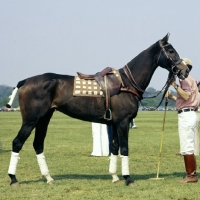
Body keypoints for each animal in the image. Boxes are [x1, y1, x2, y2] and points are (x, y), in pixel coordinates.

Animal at [6, 34, 191, 186]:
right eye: (171, 50)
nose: (186, 69)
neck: (126, 83)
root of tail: (25, 81)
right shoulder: (123, 122)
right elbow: (124, 148)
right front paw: (128, 178)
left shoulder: (115, 123)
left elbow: (114, 148)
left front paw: (115, 177)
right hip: (31, 120)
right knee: (17, 142)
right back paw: (13, 179)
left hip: (44, 118)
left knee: (38, 144)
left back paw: (48, 178)